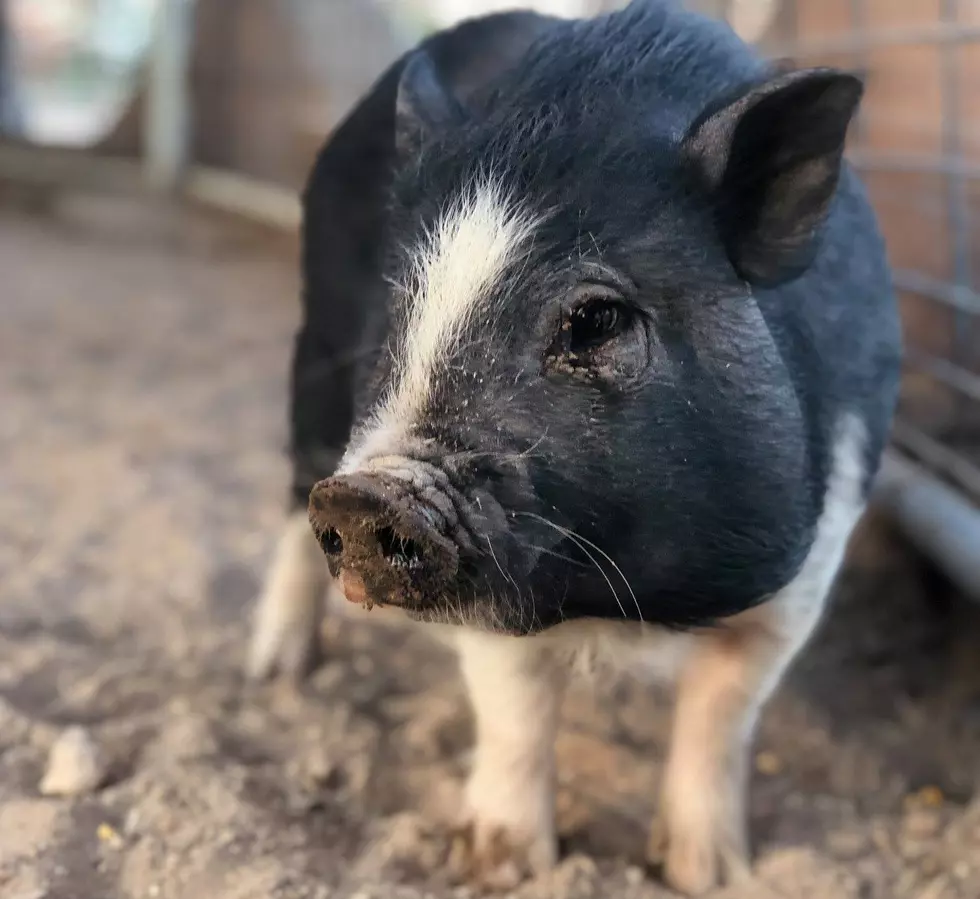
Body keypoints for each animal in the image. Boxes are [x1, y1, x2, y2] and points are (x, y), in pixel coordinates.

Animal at [247, 3, 904, 896]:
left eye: (595, 320)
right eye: (399, 313)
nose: (371, 493)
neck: (636, 605)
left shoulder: (806, 567)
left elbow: (723, 714)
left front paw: (708, 871)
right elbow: (516, 707)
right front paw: (498, 864)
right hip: (312, 355)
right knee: (292, 502)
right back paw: (275, 672)